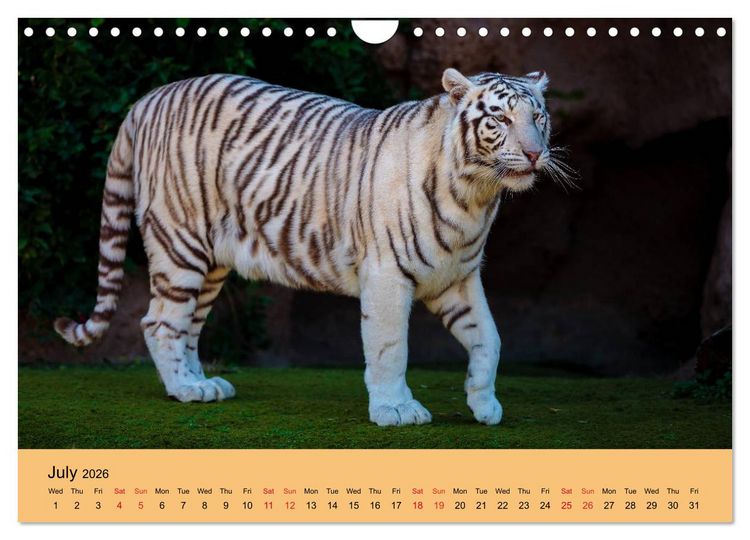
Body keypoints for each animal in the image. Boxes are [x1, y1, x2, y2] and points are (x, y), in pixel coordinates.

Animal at [54, 67, 568, 426]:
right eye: (500, 117)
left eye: (538, 117)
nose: (534, 153)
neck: (475, 194)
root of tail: (146, 99)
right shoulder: (386, 275)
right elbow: (390, 347)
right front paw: (395, 411)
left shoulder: (457, 276)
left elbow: (490, 338)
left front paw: (484, 403)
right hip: (181, 243)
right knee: (159, 322)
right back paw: (185, 389)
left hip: (210, 261)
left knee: (187, 326)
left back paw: (200, 383)